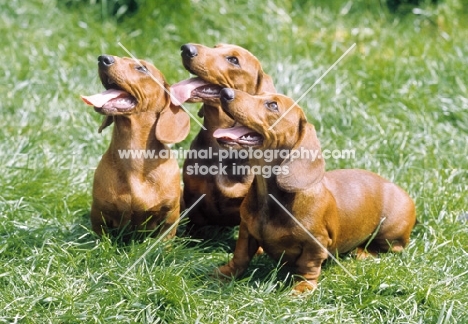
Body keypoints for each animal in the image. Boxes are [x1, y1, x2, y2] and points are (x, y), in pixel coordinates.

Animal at [82, 54, 190, 239]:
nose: (103, 58)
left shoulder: (170, 215)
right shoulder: (99, 212)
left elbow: (165, 239)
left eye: (142, 68)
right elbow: (101, 235)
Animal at [214, 88, 414, 292]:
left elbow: (308, 266)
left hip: (390, 233)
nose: (225, 92)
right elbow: (240, 256)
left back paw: (363, 252)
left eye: (273, 105)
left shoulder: (315, 244)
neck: (271, 198)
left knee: (392, 248)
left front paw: (302, 288)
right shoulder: (246, 230)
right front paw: (223, 274)